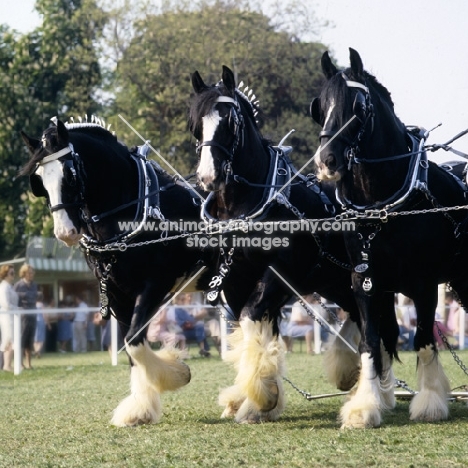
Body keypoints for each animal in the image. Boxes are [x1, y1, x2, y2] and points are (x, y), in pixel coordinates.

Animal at [21, 119, 213, 426]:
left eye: (70, 175)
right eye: (39, 180)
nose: (65, 232)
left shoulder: (155, 285)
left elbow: (133, 340)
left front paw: (177, 374)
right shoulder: (118, 293)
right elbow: (132, 345)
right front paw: (141, 407)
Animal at [190, 65, 398, 424]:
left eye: (230, 122)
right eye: (195, 123)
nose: (207, 176)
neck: (250, 202)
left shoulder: (281, 271)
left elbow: (251, 317)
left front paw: (262, 396)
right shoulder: (237, 278)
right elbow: (252, 327)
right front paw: (256, 395)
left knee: (381, 328)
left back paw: (379, 396)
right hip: (338, 282)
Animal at [312, 48, 468, 428]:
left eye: (358, 106)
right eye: (320, 105)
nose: (326, 161)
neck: (381, 202)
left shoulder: (424, 283)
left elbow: (424, 337)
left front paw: (429, 402)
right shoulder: (365, 280)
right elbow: (371, 340)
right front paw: (366, 406)